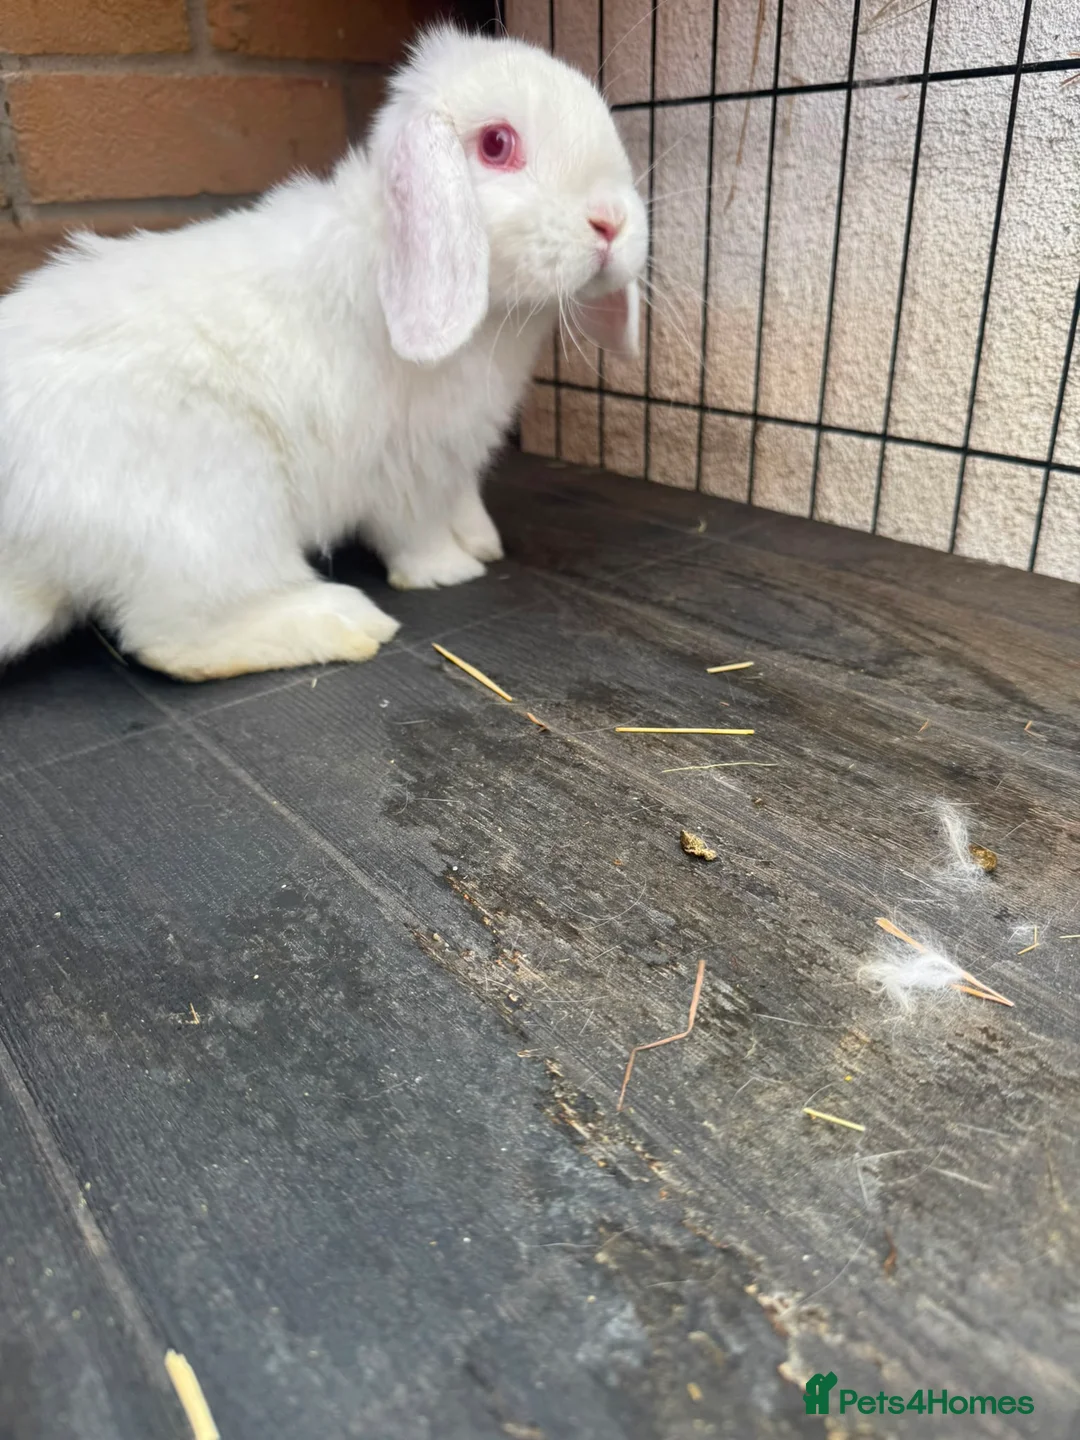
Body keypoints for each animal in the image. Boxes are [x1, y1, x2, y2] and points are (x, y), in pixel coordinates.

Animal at [0, 25, 647, 682]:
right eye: (497, 144)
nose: (610, 223)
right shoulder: (406, 465)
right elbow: (415, 529)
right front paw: (450, 570)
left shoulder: (455, 460)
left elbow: (461, 501)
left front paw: (482, 541)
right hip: (217, 510)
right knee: (175, 638)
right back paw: (340, 620)